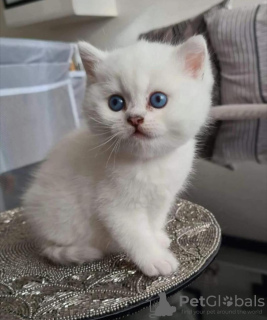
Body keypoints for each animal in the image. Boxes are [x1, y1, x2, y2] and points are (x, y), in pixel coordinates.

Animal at [24, 36, 215, 278]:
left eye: (158, 99)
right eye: (116, 103)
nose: (135, 119)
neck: (150, 163)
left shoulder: (162, 198)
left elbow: (153, 222)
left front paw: (157, 238)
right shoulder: (114, 206)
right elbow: (136, 235)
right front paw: (156, 259)